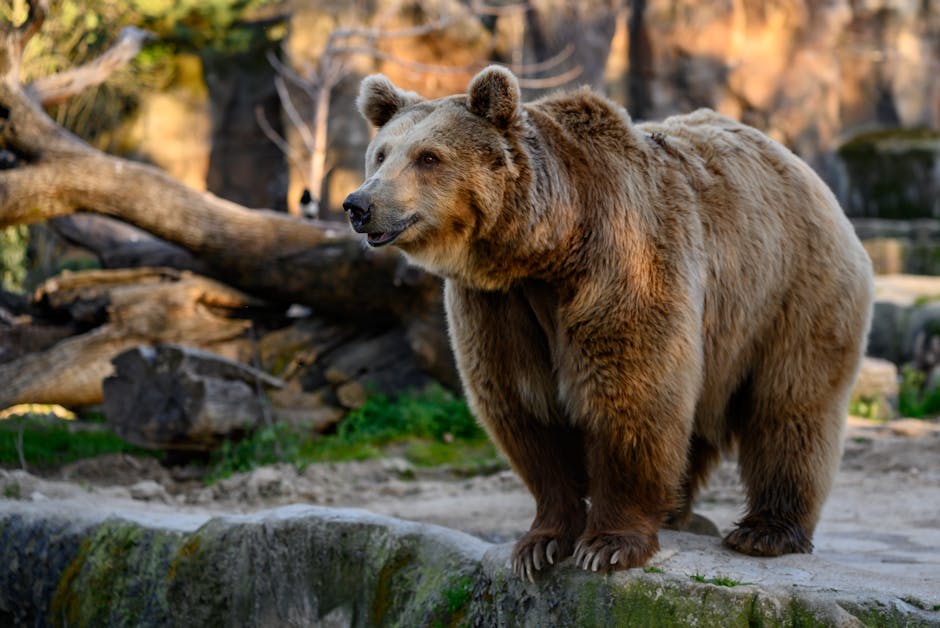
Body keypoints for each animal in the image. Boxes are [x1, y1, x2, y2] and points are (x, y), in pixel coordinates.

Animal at [344, 65, 874, 580]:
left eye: (428, 157)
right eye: (381, 154)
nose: (359, 205)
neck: (546, 248)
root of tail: (801, 167)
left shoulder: (622, 264)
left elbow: (630, 396)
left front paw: (608, 545)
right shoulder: (498, 305)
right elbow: (524, 407)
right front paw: (539, 544)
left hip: (790, 291)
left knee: (790, 407)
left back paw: (765, 531)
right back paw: (678, 511)